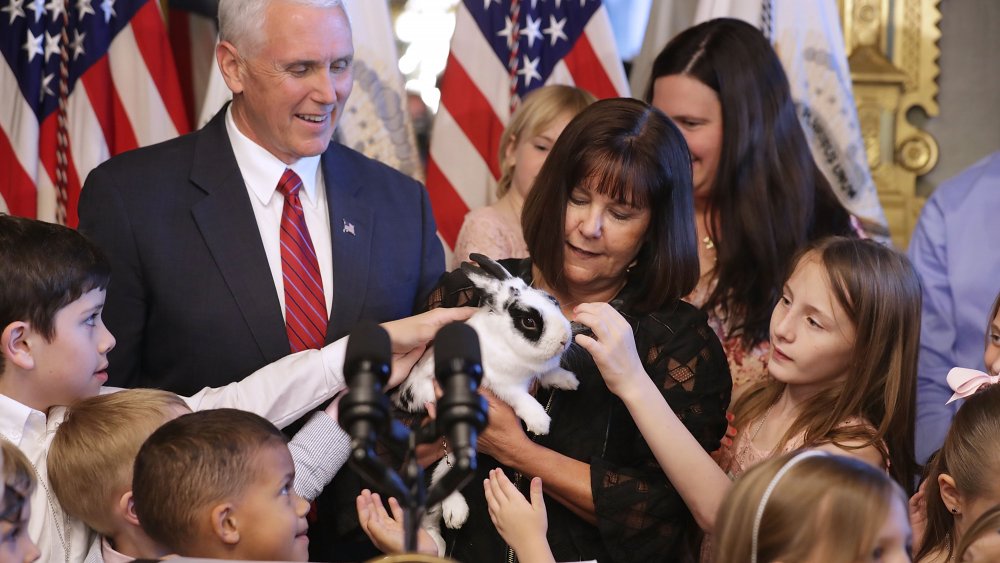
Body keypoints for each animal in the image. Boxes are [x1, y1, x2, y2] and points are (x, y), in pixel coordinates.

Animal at [392, 254, 580, 528]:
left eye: (553, 300)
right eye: (529, 321)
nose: (565, 339)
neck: (505, 341)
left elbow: (548, 374)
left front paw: (569, 381)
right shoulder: (500, 384)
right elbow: (519, 397)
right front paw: (540, 422)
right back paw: (455, 514)